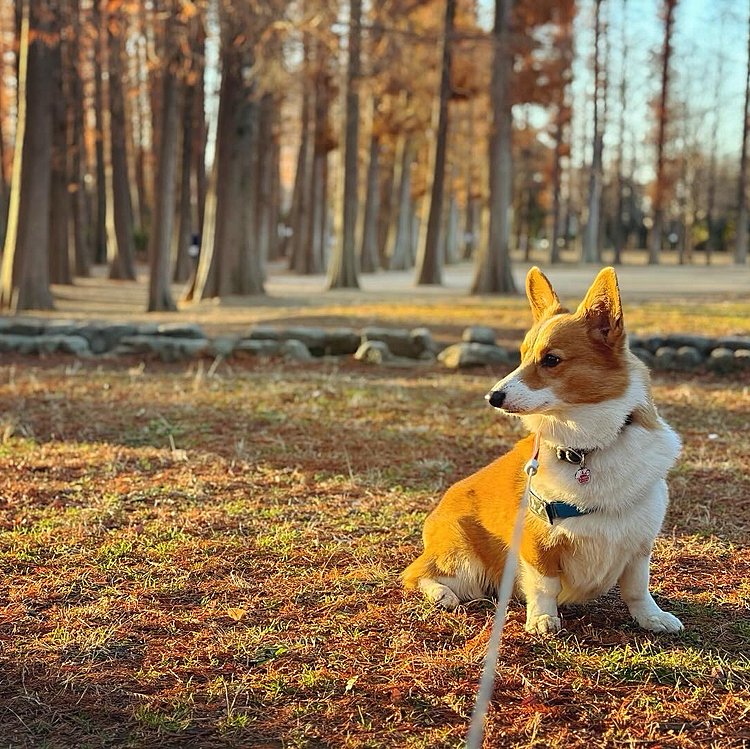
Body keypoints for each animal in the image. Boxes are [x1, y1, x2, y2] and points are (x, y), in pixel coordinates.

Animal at [406, 266, 688, 636]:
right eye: (522, 355)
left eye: (551, 359)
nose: (492, 397)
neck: (584, 447)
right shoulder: (536, 541)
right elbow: (545, 584)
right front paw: (542, 618)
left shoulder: (639, 545)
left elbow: (637, 588)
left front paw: (652, 617)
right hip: (464, 560)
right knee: (415, 574)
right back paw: (442, 594)